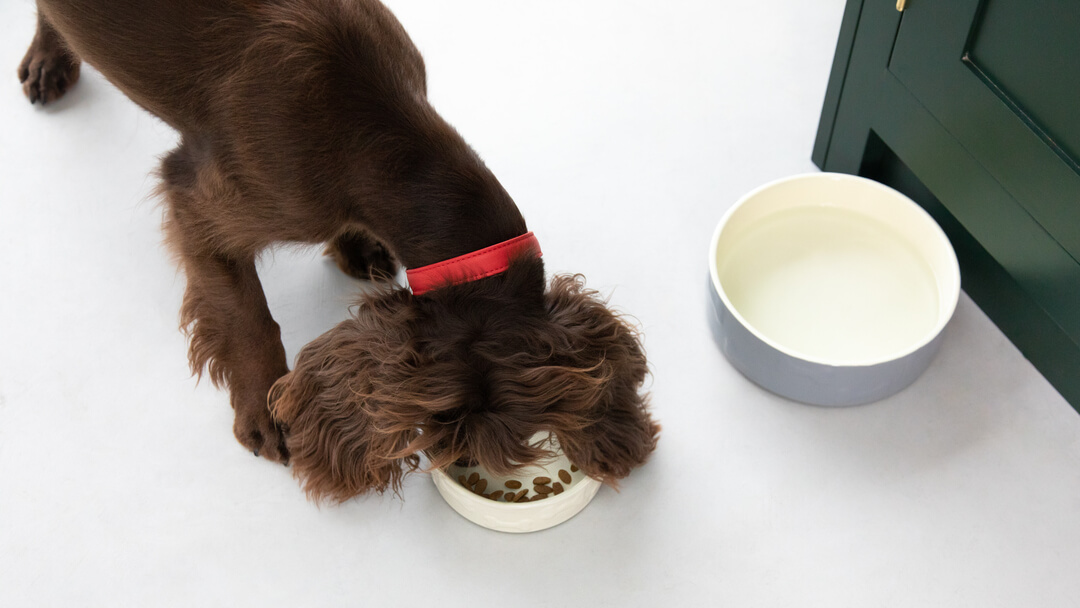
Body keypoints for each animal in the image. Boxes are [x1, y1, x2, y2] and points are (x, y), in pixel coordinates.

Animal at [19, 0, 656, 505]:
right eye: (439, 424)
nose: (454, 462)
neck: (392, 148)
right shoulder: (198, 199)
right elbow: (247, 316)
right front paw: (263, 410)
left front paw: (359, 245)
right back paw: (50, 57)